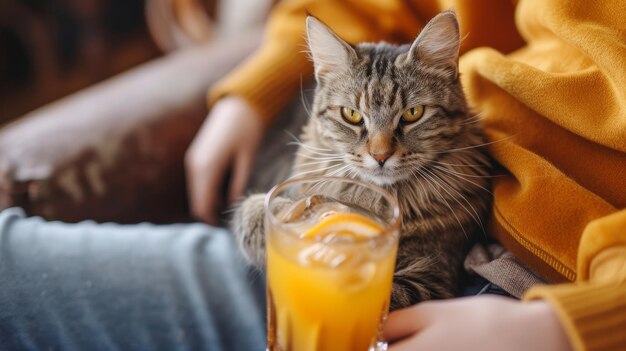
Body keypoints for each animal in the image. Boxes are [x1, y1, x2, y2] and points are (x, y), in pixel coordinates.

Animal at [232, 8, 490, 310]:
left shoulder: (429, 278)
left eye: (413, 113)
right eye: (352, 115)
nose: (381, 155)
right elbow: (256, 209)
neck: (373, 198)